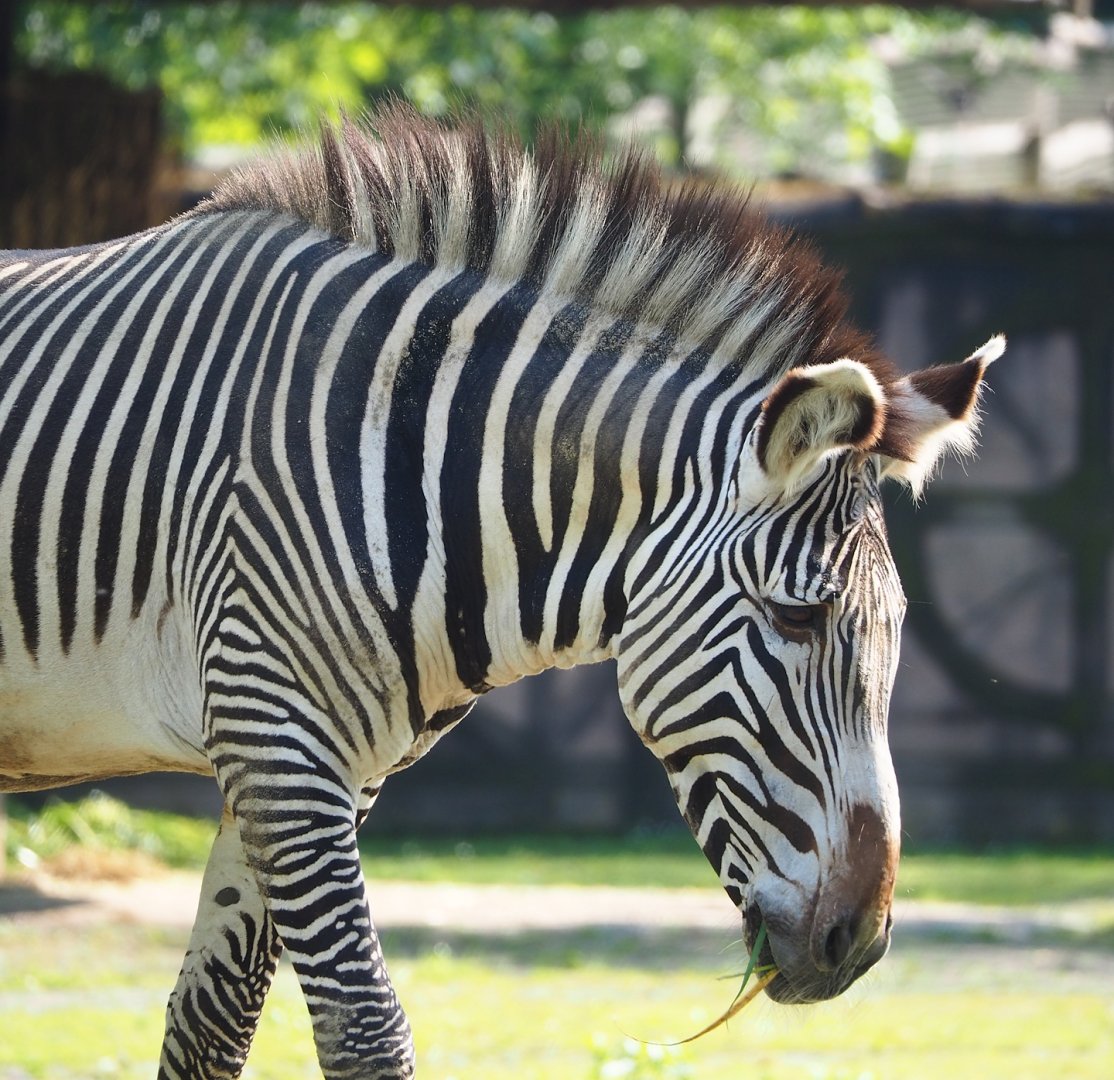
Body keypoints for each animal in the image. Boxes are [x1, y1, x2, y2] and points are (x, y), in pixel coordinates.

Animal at [0, 107, 1000, 1079]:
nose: (856, 945)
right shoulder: (274, 736)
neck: (415, 461)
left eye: (899, 627)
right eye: (796, 614)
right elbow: (364, 1029)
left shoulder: (323, 768)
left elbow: (211, 1026)